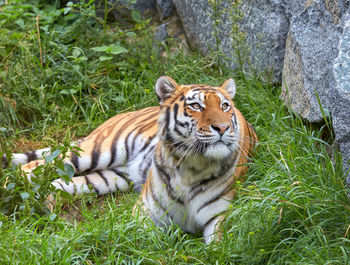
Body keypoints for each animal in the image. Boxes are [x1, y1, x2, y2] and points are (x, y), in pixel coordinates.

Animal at [1, 75, 256, 242]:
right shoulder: (145, 214)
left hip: (110, 177)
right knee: (33, 167)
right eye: (196, 105)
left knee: (62, 182)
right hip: (97, 150)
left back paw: (45, 205)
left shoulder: (219, 218)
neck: (190, 166)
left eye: (225, 106)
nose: (222, 128)